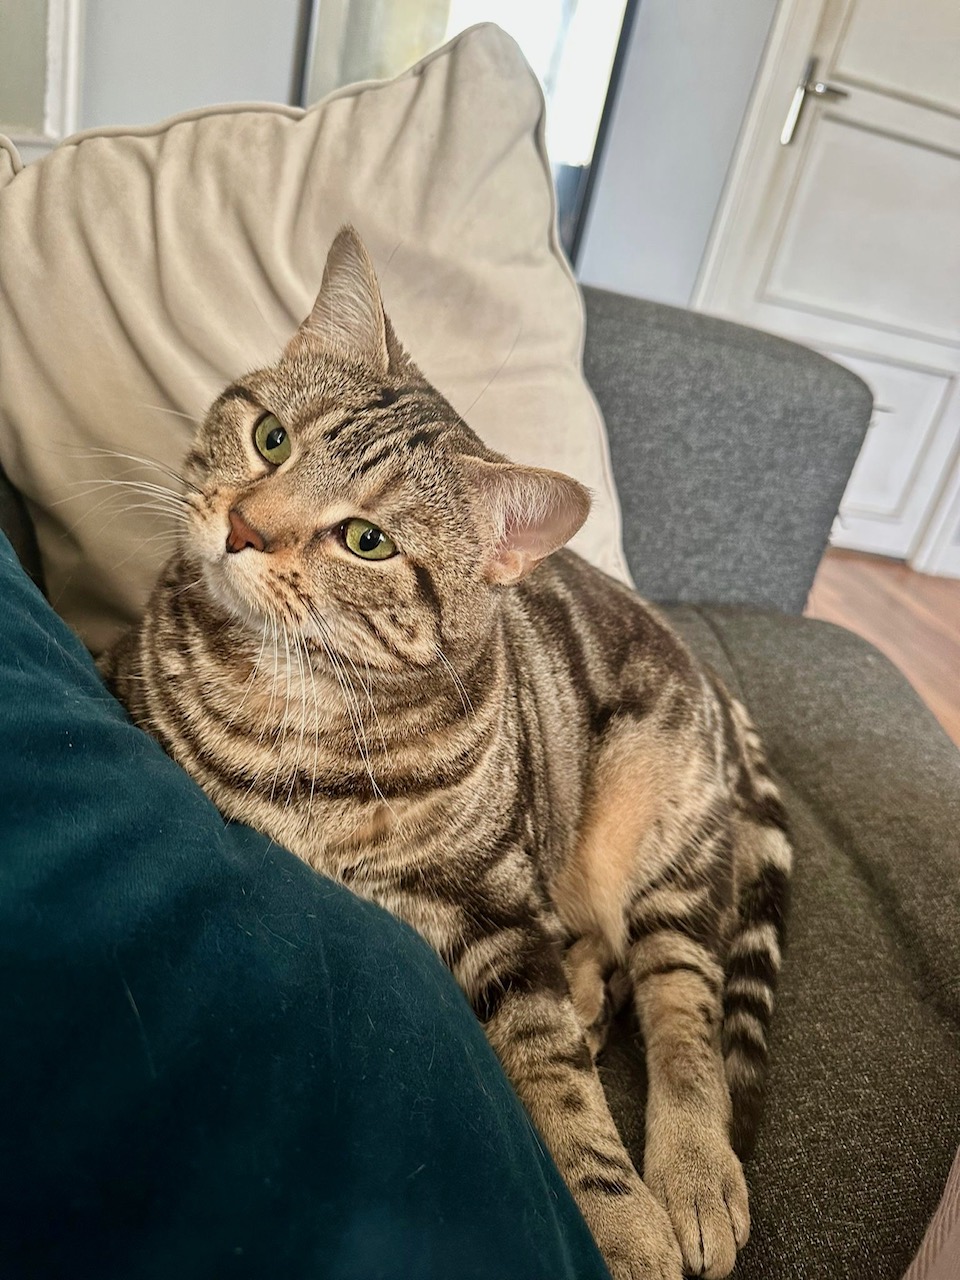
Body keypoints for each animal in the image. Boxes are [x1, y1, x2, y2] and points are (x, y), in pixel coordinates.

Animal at [101, 227, 791, 1280]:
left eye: (367, 540)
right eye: (272, 438)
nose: (244, 528)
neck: (293, 701)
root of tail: (713, 683)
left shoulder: (497, 902)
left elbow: (560, 1086)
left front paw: (624, 1222)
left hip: (657, 833)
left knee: (685, 1001)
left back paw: (693, 1171)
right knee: (610, 954)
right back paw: (590, 991)